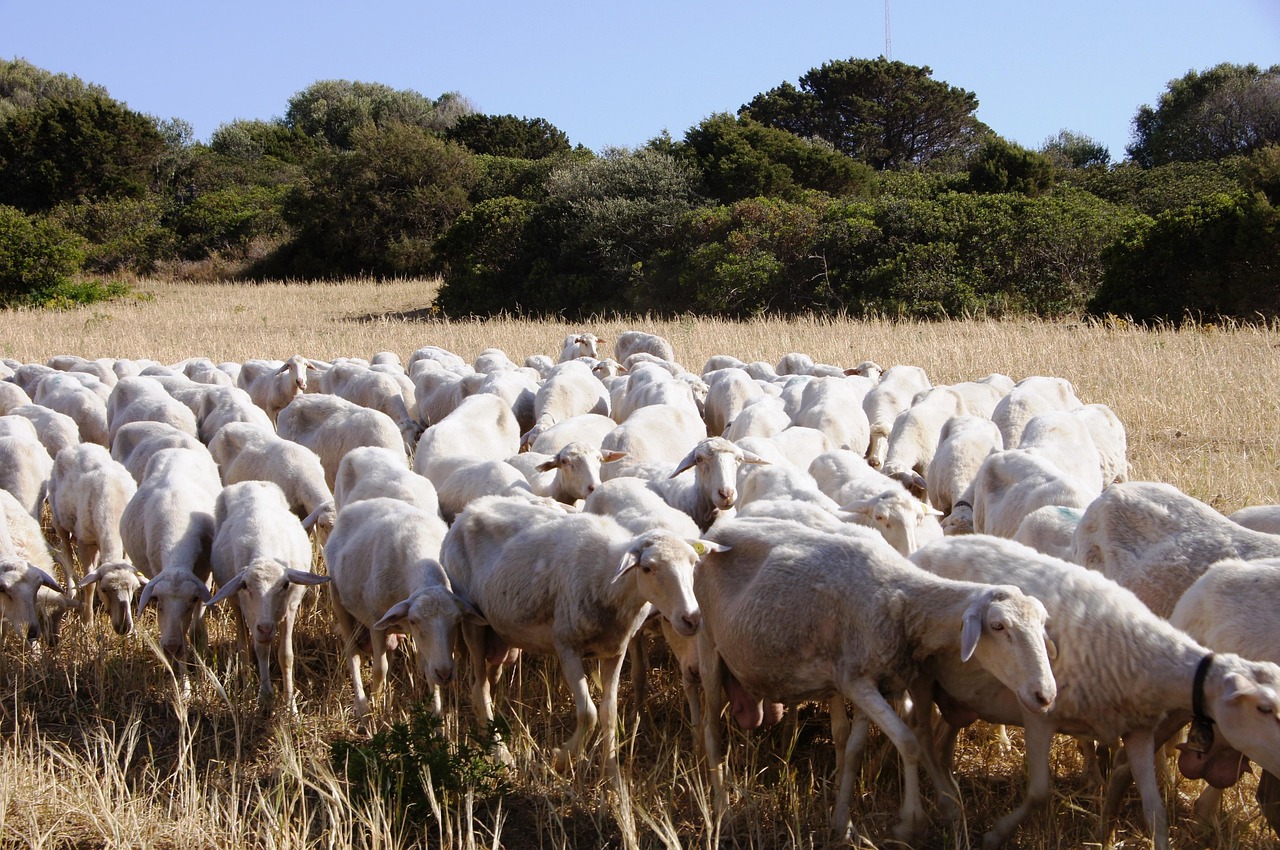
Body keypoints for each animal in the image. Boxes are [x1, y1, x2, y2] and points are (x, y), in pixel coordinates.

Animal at [46, 443, 137, 621]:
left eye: (132, 588)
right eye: (104, 589)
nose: (124, 624)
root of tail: (77, 446)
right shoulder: (86, 543)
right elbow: (90, 584)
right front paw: (88, 620)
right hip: (58, 521)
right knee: (67, 554)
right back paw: (72, 591)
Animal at [207, 481, 329, 712]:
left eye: (285, 584)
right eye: (245, 586)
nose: (265, 628)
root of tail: (250, 483)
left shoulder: (291, 607)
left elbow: (286, 655)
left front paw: (290, 707)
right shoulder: (251, 613)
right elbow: (260, 649)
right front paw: (264, 696)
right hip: (236, 605)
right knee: (244, 647)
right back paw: (246, 689)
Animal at [324, 497, 469, 719]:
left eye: (457, 621)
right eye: (414, 621)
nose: (445, 673)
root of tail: (363, 503)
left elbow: (428, 669)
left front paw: (436, 715)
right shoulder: (375, 619)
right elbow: (379, 669)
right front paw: (375, 705)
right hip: (338, 600)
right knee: (353, 656)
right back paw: (362, 705)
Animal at [696, 517, 1056, 845]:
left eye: (1042, 623)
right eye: (998, 626)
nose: (1046, 694)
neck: (903, 601)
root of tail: (718, 528)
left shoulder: (874, 686)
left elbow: (855, 751)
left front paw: (843, 824)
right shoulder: (856, 680)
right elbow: (908, 741)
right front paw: (911, 822)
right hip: (708, 646)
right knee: (711, 731)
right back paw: (722, 812)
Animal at [909, 534, 1280, 850]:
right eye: (1264, 708)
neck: (1141, 654)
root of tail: (935, 544)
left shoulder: (1138, 731)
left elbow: (1156, 812)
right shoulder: (1039, 714)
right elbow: (1039, 793)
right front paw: (995, 836)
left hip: (960, 694)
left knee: (944, 737)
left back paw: (949, 792)